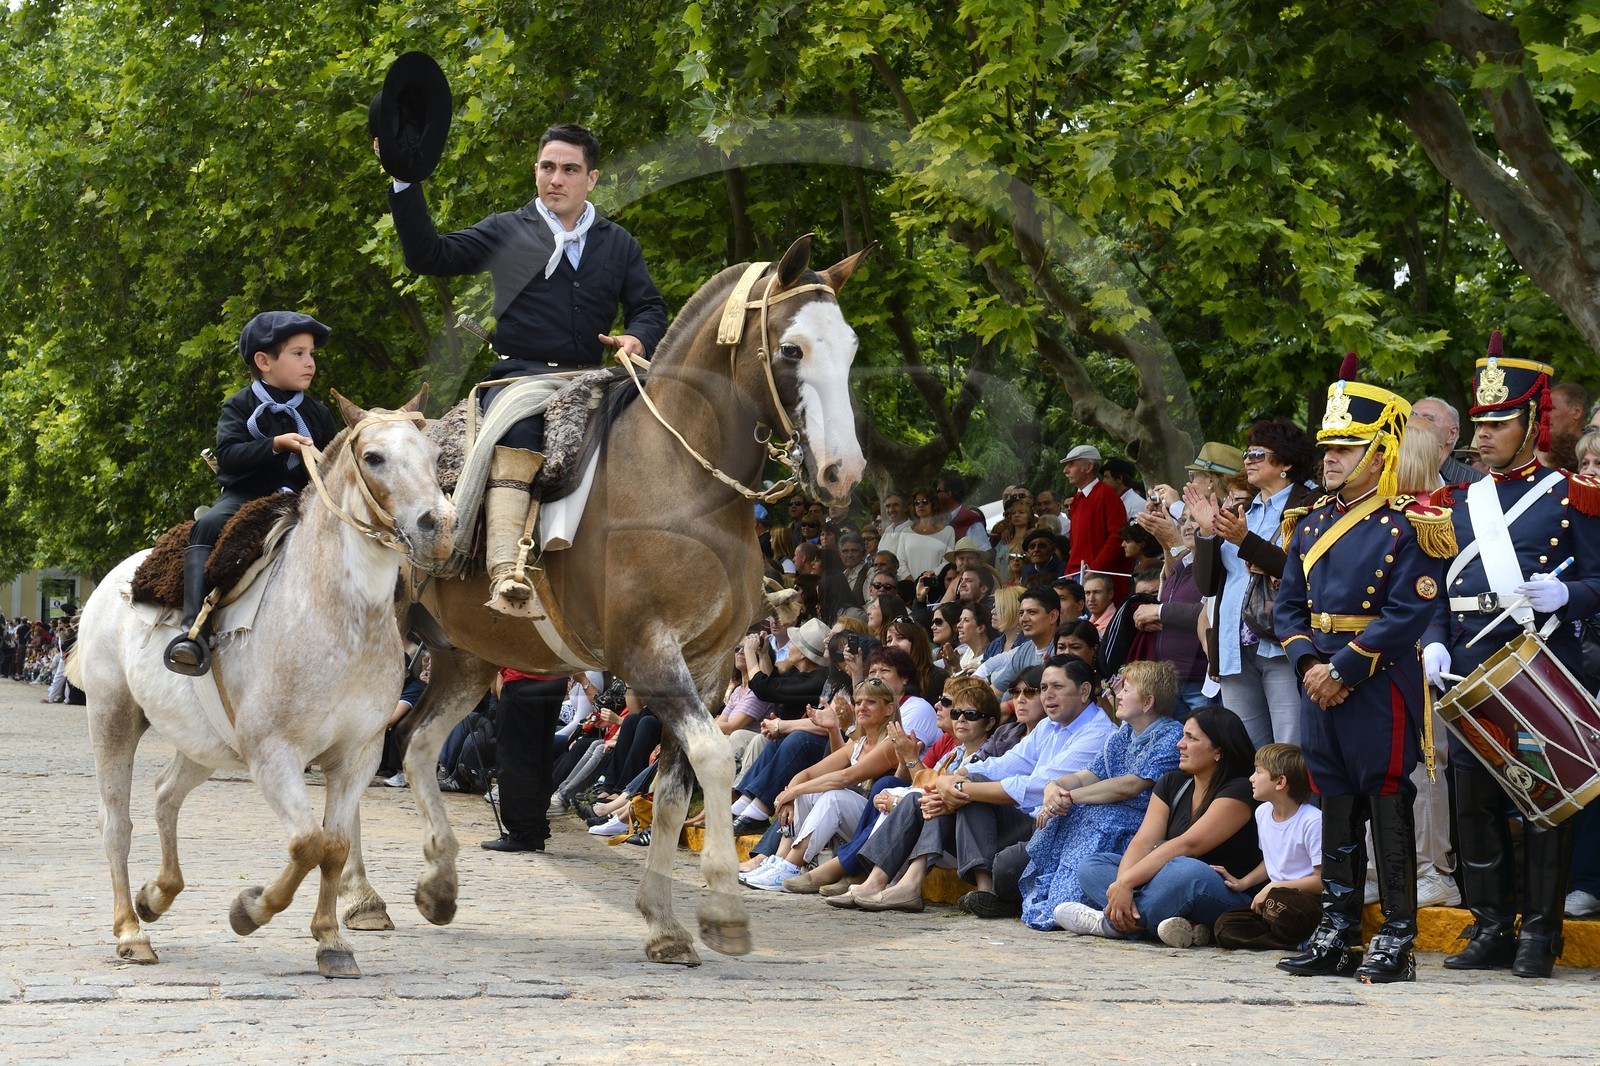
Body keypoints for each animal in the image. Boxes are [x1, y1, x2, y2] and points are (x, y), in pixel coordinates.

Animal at [73, 389, 454, 978]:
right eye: (374, 458)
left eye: (434, 456)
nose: (441, 526)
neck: (339, 618)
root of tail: (119, 577)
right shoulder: (274, 753)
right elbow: (307, 843)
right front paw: (249, 910)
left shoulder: (358, 756)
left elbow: (334, 847)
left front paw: (332, 941)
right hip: (112, 717)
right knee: (116, 823)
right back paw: (132, 931)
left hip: (204, 744)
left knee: (165, 795)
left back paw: (156, 895)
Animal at [396, 234, 867, 965]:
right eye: (791, 349)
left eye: (848, 346)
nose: (843, 472)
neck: (682, 483)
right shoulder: (649, 654)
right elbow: (713, 761)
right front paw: (721, 913)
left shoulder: (706, 666)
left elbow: (675, 790)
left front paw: (667, 924)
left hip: (464, 658)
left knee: (415, 745)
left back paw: (437, 885)